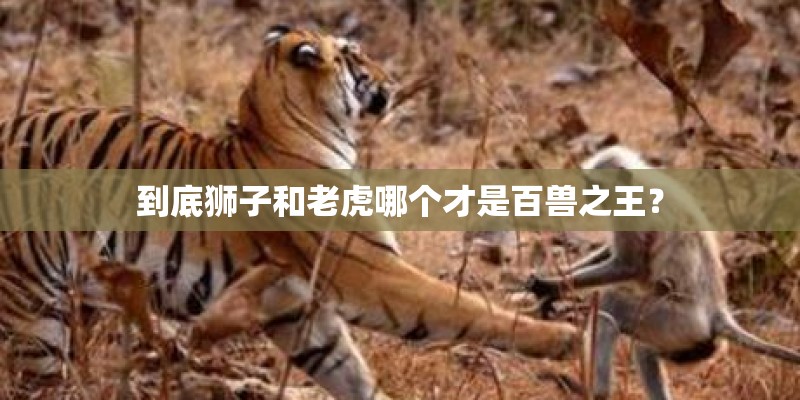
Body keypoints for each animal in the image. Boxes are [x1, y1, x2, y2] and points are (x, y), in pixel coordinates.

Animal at [0, 25, 580, 399]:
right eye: (354, 56)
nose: (392, 77)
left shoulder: (291, 302)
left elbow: (347, 368)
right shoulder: (371, 271)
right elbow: (462, 308)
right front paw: (564, 339)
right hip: (33, 316)